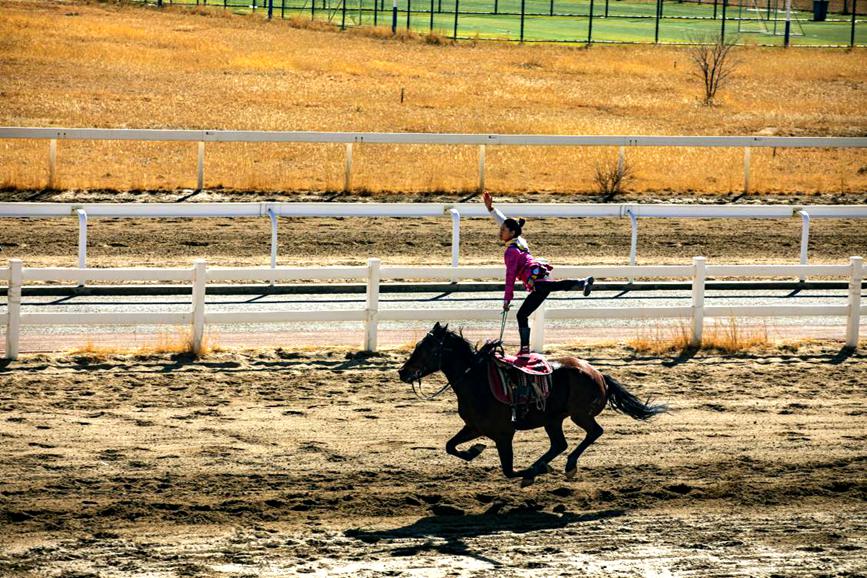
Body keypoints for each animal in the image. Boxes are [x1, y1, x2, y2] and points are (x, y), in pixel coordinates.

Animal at [396, 322, 668, 484]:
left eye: (426, 348)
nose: (402, 372)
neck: (477, 381)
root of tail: (598, 374)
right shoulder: (474, 427)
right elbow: (450, 446)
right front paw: (475, 450)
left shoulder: (504, 434)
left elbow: (508, 469)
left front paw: (530, 472)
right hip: (553, 419)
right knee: (559, 444)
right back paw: (545, 465)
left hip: (579, 414)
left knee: (594, 432)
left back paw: (565, 466)